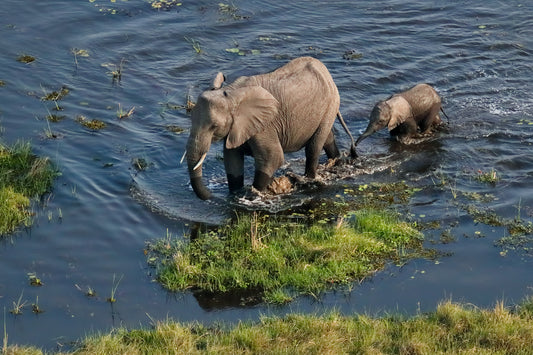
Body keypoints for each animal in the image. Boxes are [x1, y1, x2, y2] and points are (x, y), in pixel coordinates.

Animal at [185, 55, 356, 200]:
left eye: (214, 126)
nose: (211, 196)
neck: (230, 93)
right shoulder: (237, 128)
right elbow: (232, 160)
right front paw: (235, 195)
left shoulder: (264, 126)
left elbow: (272, 158)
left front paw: (252, 196)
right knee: (327, 138)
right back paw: (337, 162)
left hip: (331, 103)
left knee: (313, 148)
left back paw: (308, 178)